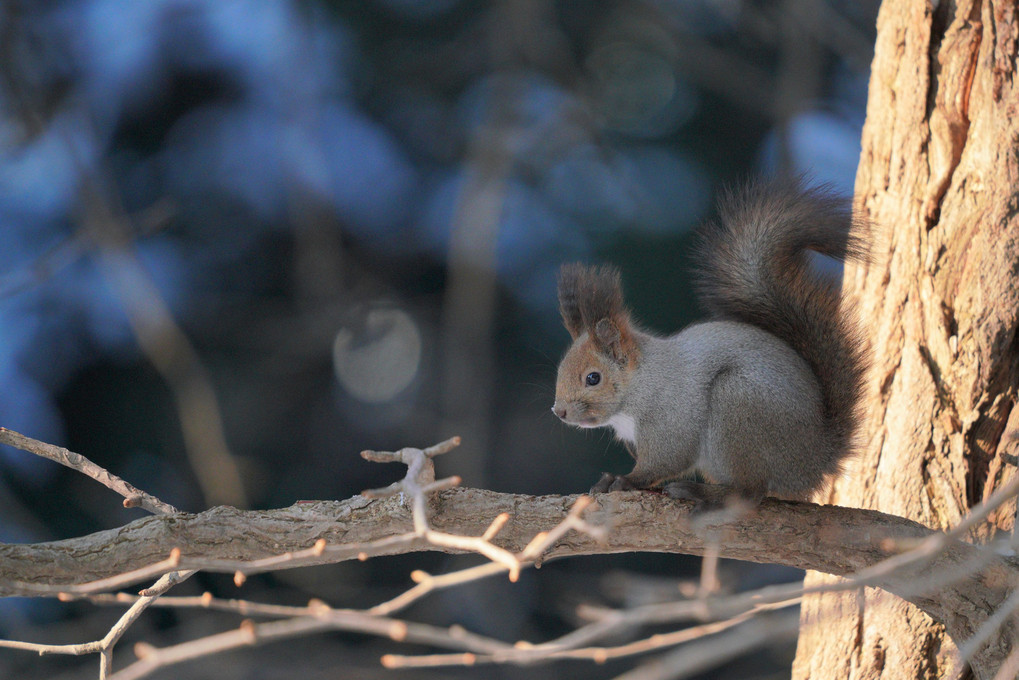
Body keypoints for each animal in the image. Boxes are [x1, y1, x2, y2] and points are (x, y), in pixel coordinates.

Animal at [550, 180, 868, 505]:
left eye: (593, 378)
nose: (559, 412)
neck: (641, 383)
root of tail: (816, 460)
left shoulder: (671, 417)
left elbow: (665, 460)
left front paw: (626, 480)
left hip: (739, 407)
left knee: (749, 491)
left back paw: (698, 491)